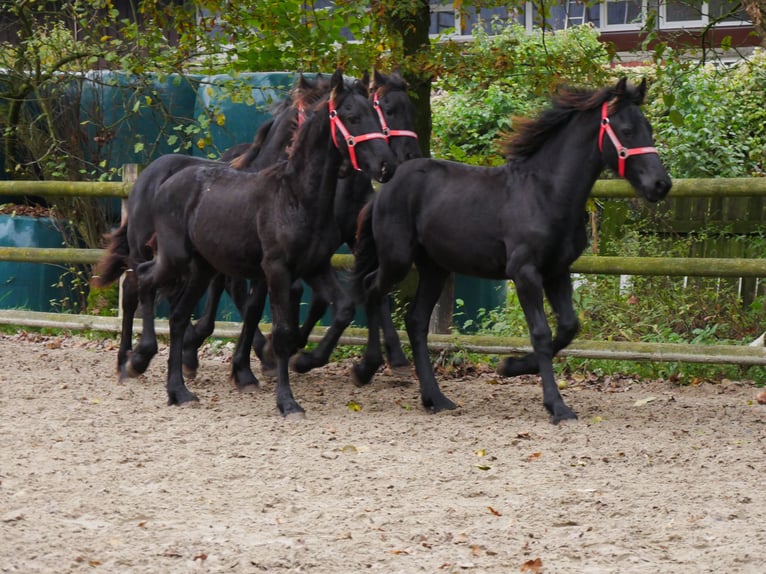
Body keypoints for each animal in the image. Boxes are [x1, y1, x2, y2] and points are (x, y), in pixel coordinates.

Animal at [136, 70, 400, 416]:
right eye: (352, 117)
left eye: (376, 113)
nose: (386, 166)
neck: (296, 197)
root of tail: (166, 180)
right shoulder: (276, 270)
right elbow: (281, 332)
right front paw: (286, 400)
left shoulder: (315, 267)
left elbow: (341, 308)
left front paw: (305, 360)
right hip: (175, 259)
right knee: (142, 280)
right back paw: (135, 359)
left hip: (201, 268)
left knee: (178, 316)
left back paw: (178, 389)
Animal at [352, 79, 672, 426]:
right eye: (627, 130)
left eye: (649, 128)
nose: (661, 184)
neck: (545, 193)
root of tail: (385, 187)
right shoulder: (525, 273)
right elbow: (542, 333)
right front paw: (557, 406)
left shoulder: (557, 272)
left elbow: (568, 327)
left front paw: (512, 367)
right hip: (398, 259)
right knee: (371, 288)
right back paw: (370, 367)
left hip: (435, 268)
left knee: (415, 321)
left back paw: (435, 398)